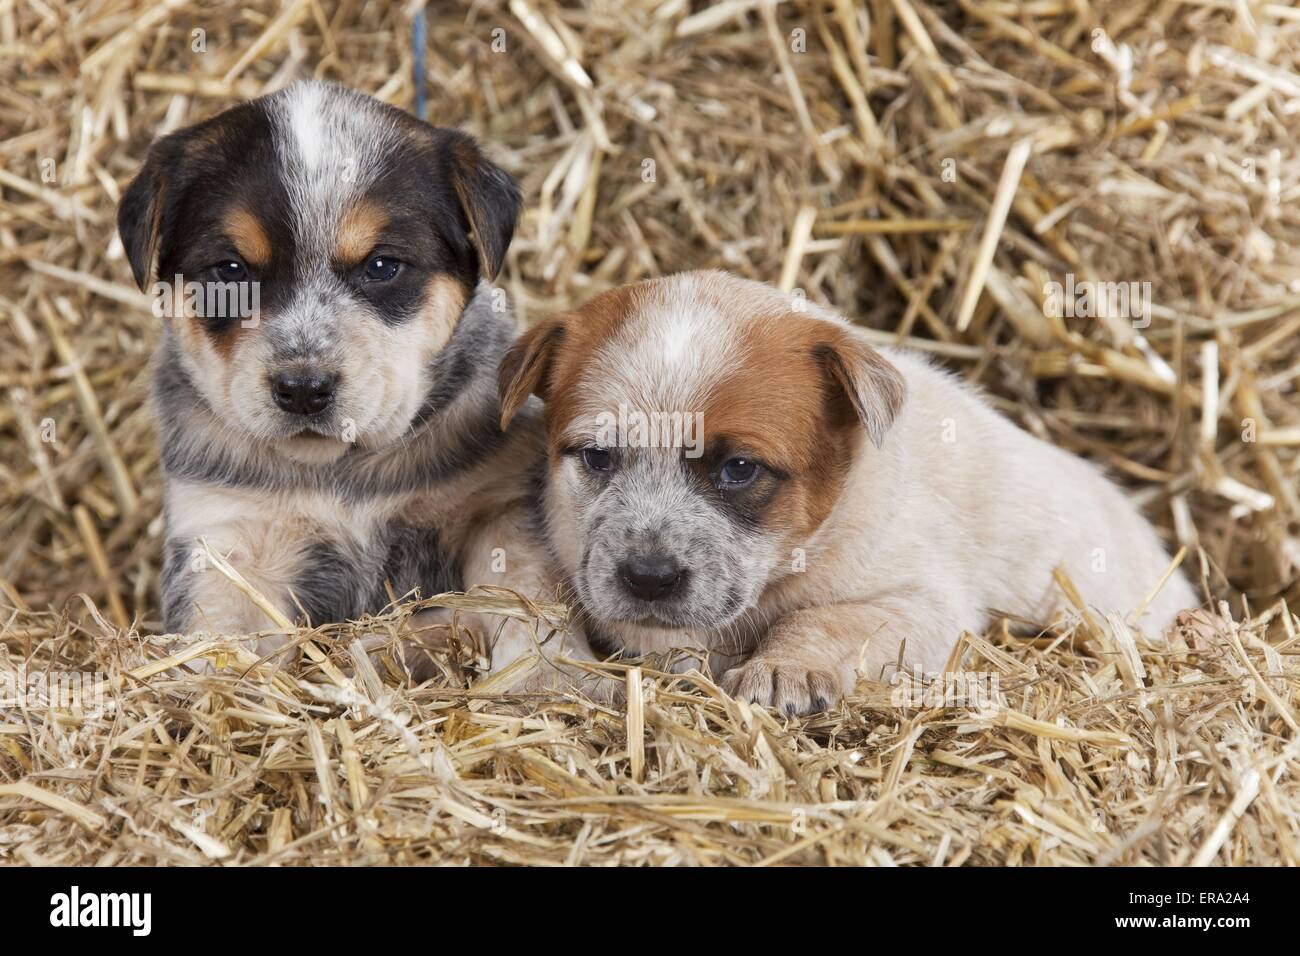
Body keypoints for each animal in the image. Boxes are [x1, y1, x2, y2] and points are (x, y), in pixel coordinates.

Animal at [496, 273, 1196, 712]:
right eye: (597, 456)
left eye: (739, 469)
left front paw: (785, 671)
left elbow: (829, 617)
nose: (647, 578)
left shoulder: (925, 603)